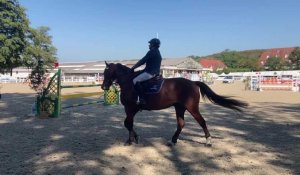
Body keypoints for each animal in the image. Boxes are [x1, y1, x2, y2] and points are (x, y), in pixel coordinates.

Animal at [102, 62, 247, 147]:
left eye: (107, 72)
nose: (104, 87)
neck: (129, 82)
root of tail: (193, 82)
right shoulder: (131, 109)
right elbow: (128, 124)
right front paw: (134, 138)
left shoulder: (131, 108)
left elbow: (128, 123)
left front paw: (131, 140)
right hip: (180, 108)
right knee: (181, 124)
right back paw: (173, 140)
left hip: (191, 108)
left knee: (202, 121)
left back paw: (208, 141)